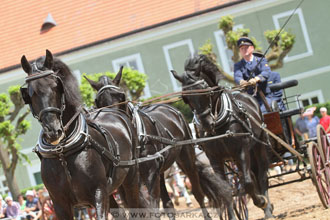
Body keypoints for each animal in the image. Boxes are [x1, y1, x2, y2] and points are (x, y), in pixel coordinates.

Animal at [21, 50, 148, 220]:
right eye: (30, 93)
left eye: (56, 86)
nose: (53, 131)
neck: (63, 152)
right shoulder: (59, 204)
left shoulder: (98, 193)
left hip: (130, 178)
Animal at [84, 70, 236, 220]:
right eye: (97, 101)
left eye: (122, 96)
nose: (117, 123)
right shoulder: (123, 182)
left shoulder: (150, 174)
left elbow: (152, 207)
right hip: (160, 171)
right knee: (168, 204)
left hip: (185, 159)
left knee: (197, 192)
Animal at [173, 54, 274, 219]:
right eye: (185, 98)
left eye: (205, 91)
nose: (206, 124)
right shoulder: (215, 158)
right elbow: (226, 189)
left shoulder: (241, 150)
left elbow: (247, 183)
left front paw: (261, 201)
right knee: (251, 174)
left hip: (258, 146)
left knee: (260, 174)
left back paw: (267, 209)